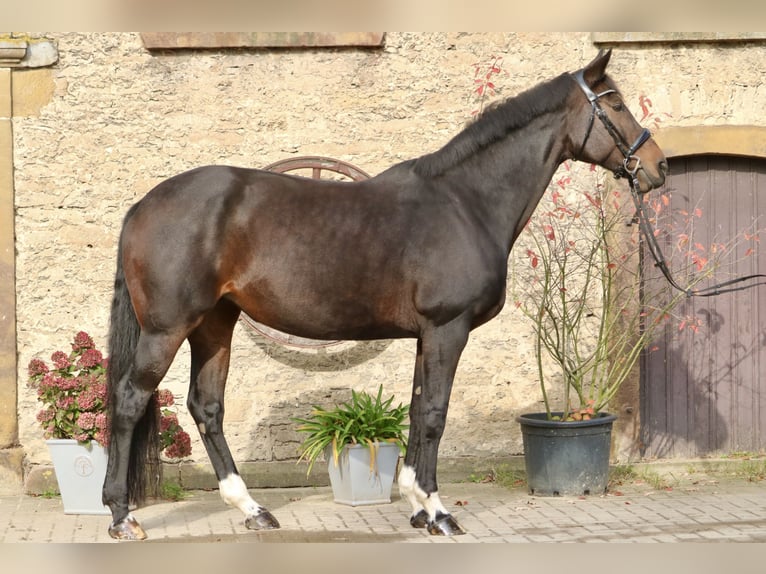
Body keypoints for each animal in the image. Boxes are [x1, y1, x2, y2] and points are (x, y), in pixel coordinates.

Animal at [105, 49, 668, 540]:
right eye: (616, 103)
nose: (658, 166)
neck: (465, 202)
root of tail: (142, 205)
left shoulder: (427, 335)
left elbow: (419, 411)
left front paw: (417, 507)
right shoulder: (447, 328)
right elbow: (436, 413)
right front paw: (439, 513)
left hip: (215, 324)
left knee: (207, 407)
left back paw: (253, 510)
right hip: (168, 328)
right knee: (130, 399)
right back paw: (121, 516)